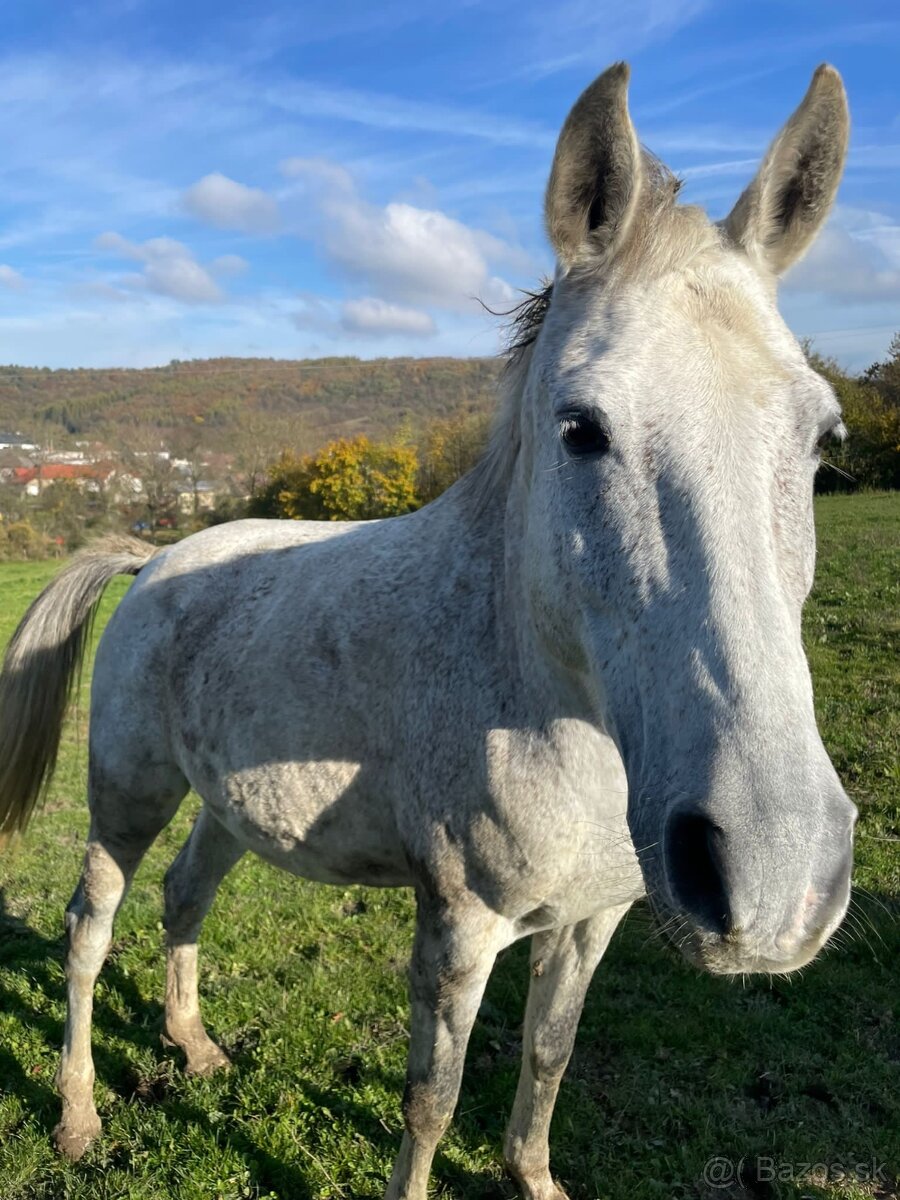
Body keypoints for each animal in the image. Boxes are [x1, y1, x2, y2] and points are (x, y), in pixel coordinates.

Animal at [0, 63, 854, 1200]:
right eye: (580, 428)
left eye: (822, 437)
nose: (775, 876)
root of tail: (153, 562)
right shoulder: (458, 930)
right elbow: (431, 1102)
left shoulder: (591, 921)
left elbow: (549, 1054)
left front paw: (534, 1178)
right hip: (127, 795)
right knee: (89, 930)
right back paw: (78, 1116)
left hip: (223, 803)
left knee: (185, 898)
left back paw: (195, 1048)